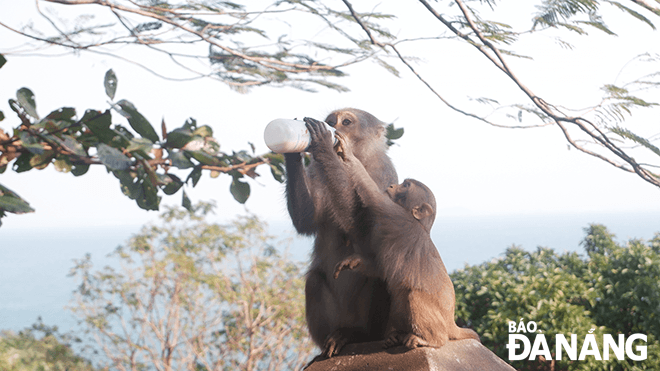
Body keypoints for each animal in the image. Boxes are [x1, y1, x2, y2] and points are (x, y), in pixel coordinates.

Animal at [284, 107, 398, 358]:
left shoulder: (384, 173)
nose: (332, 127)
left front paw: (324, 144)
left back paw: (358, 335)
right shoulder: (318, 171)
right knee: (314, 280)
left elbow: (367, 228)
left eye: (346, 122)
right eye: (330, 120)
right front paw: (292, 151)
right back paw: (334, 338)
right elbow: (307, 221)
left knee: (379, 274)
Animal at [332, 134, 476, 352]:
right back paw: (396, 335)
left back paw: (432, 340)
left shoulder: (396, 217)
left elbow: (372, 196)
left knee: (413, 295)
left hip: (438, 321)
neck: (419, 224)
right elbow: (381, 268)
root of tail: (451, 324)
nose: (392, 186)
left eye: (406, 186)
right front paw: (354, 262)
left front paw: (348, 154)